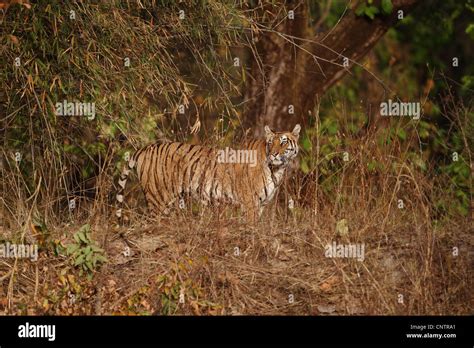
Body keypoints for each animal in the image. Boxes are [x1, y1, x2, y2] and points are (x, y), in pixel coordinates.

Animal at [115, 124, 300, 223]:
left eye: (283, 142)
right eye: (270, 143)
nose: (274, 154)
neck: (277, 169)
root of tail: (145, 148)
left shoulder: (261, 204)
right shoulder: (250, 203)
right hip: (156, 198)